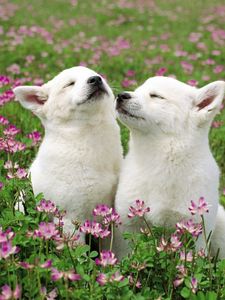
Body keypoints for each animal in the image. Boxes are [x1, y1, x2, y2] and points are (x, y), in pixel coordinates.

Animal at [114, 76, 225, 258]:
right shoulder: (127, 222)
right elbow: (126, 254)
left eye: (156, 96)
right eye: (137, 90)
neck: (160, 160)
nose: (121, 95)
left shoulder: (196, 230)